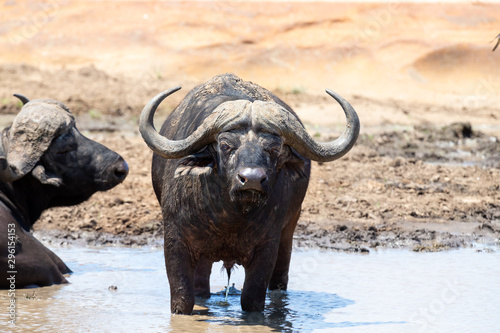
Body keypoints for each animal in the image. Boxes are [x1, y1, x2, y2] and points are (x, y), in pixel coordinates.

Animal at [140, 74, 360, 312]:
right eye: (225, 145)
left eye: (274, 148)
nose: (252, 179)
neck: (230, 217)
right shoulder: (175, 241)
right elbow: (183, 299)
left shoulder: (267, 247)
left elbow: (252, 300)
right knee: (201, 286)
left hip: (289, 232)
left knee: (279, 280)